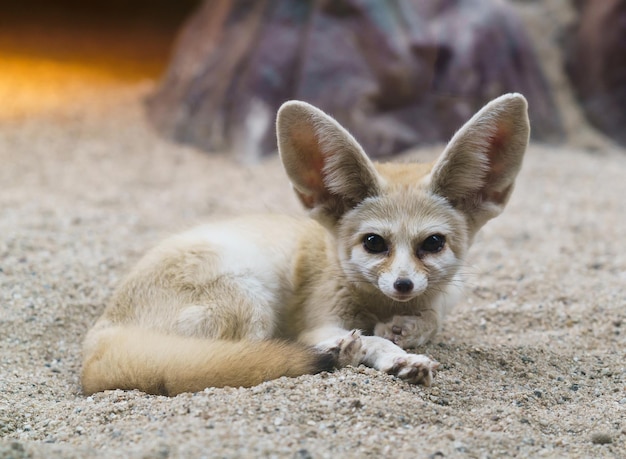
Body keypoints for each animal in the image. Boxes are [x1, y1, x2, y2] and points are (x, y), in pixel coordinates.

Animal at [81, 92, 528, 396]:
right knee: (239, 361)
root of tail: (100, 335)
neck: (379, 305)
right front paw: (396, 355)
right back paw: (337, 355)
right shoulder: (319, 321)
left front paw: (407, 331)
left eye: (433, 243)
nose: (403, 285)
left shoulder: (440, 301)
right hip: (250, 303)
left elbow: (430, 321)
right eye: (373, 243)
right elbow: (371, 338)